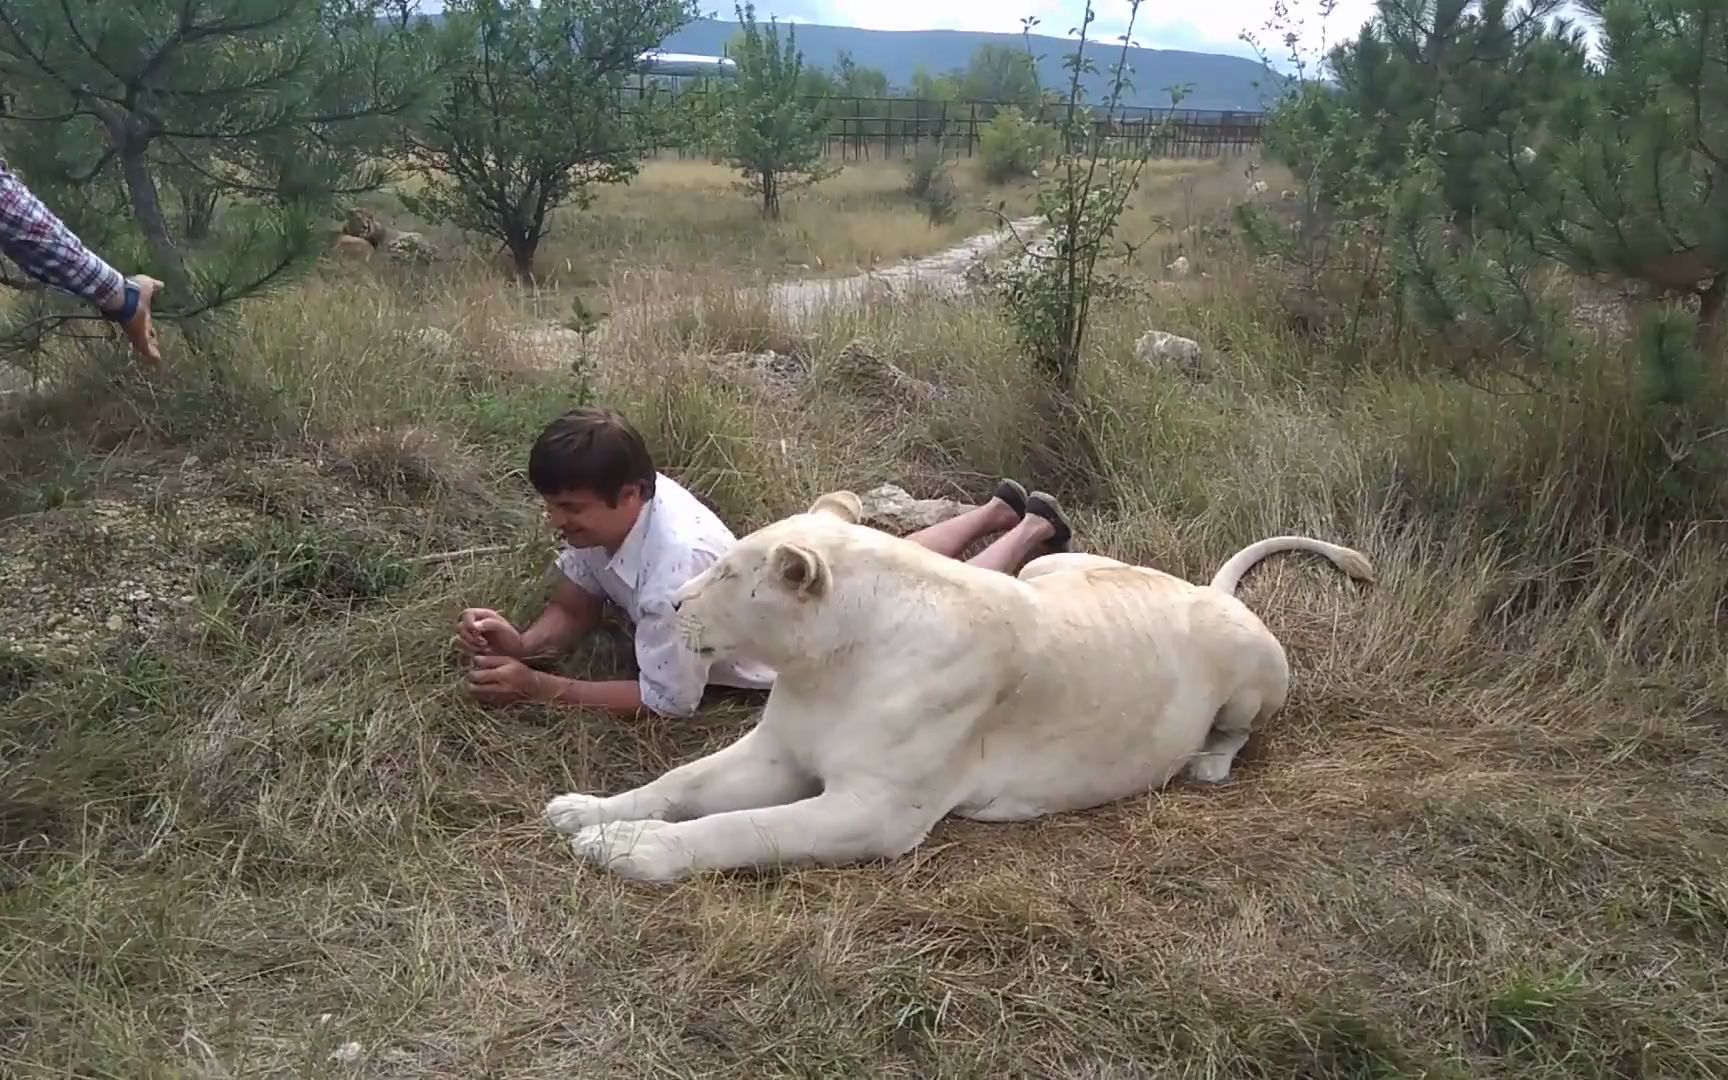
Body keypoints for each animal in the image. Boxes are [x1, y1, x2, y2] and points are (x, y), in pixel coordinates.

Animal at [542, 494, 1375, 881]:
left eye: (724, 574)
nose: (671, 606)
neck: (827, 666)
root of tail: (1205, 587)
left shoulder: (875, 812)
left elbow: (741, 829)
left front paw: (629, 851)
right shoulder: (776, 752)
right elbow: (680, 783)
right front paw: (588, 811)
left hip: (1256, 668)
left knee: (1240, 727)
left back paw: (1207, 761)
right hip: (1047, 566)